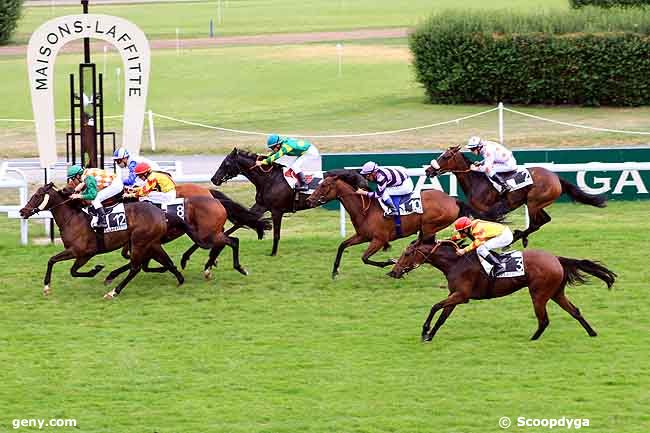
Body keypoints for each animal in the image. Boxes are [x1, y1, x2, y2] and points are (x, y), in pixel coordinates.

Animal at [306, 175, 498, 278]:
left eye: (324, 185)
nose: (309, 200)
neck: (365, 209)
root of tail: (453, 199)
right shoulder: (363, 236)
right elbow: (342, 246)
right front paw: (335, 272)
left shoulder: (378, 239)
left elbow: (365, 258)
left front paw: (390, 263)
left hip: (429, 226)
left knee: (426, 244)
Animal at [388, 236, 616, 340]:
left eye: (407, 253)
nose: (394, 271)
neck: (455, 263)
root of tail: (556, 259)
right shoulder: (455, 295)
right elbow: (442, 316)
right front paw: (429, 335)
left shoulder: (462, 295)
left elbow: (435, 306)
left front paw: (425, 330)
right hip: (555, 293)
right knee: (575, 311)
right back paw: (592, 333)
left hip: (539, 293)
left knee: (544, 319)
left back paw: (532, 339)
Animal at [422, 147, 604, 245]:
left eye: (445, 156)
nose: (428, 170)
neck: (477, 181)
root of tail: (555, 177)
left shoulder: (488, 211)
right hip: (536, 203)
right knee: (544, 220)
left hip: (533, 202)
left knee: (535, 224)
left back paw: (516, 237)